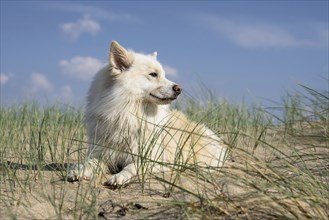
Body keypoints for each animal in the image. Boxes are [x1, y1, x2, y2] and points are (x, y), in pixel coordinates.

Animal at [66, 40, 226, 186]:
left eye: (164, 75)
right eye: (153, 74)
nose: (179, 89)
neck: (127, 114)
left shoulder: (151, 159)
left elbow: (132, 166)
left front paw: (119, 177)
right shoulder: (102, 153)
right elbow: (89, 163)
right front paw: (79, 171)